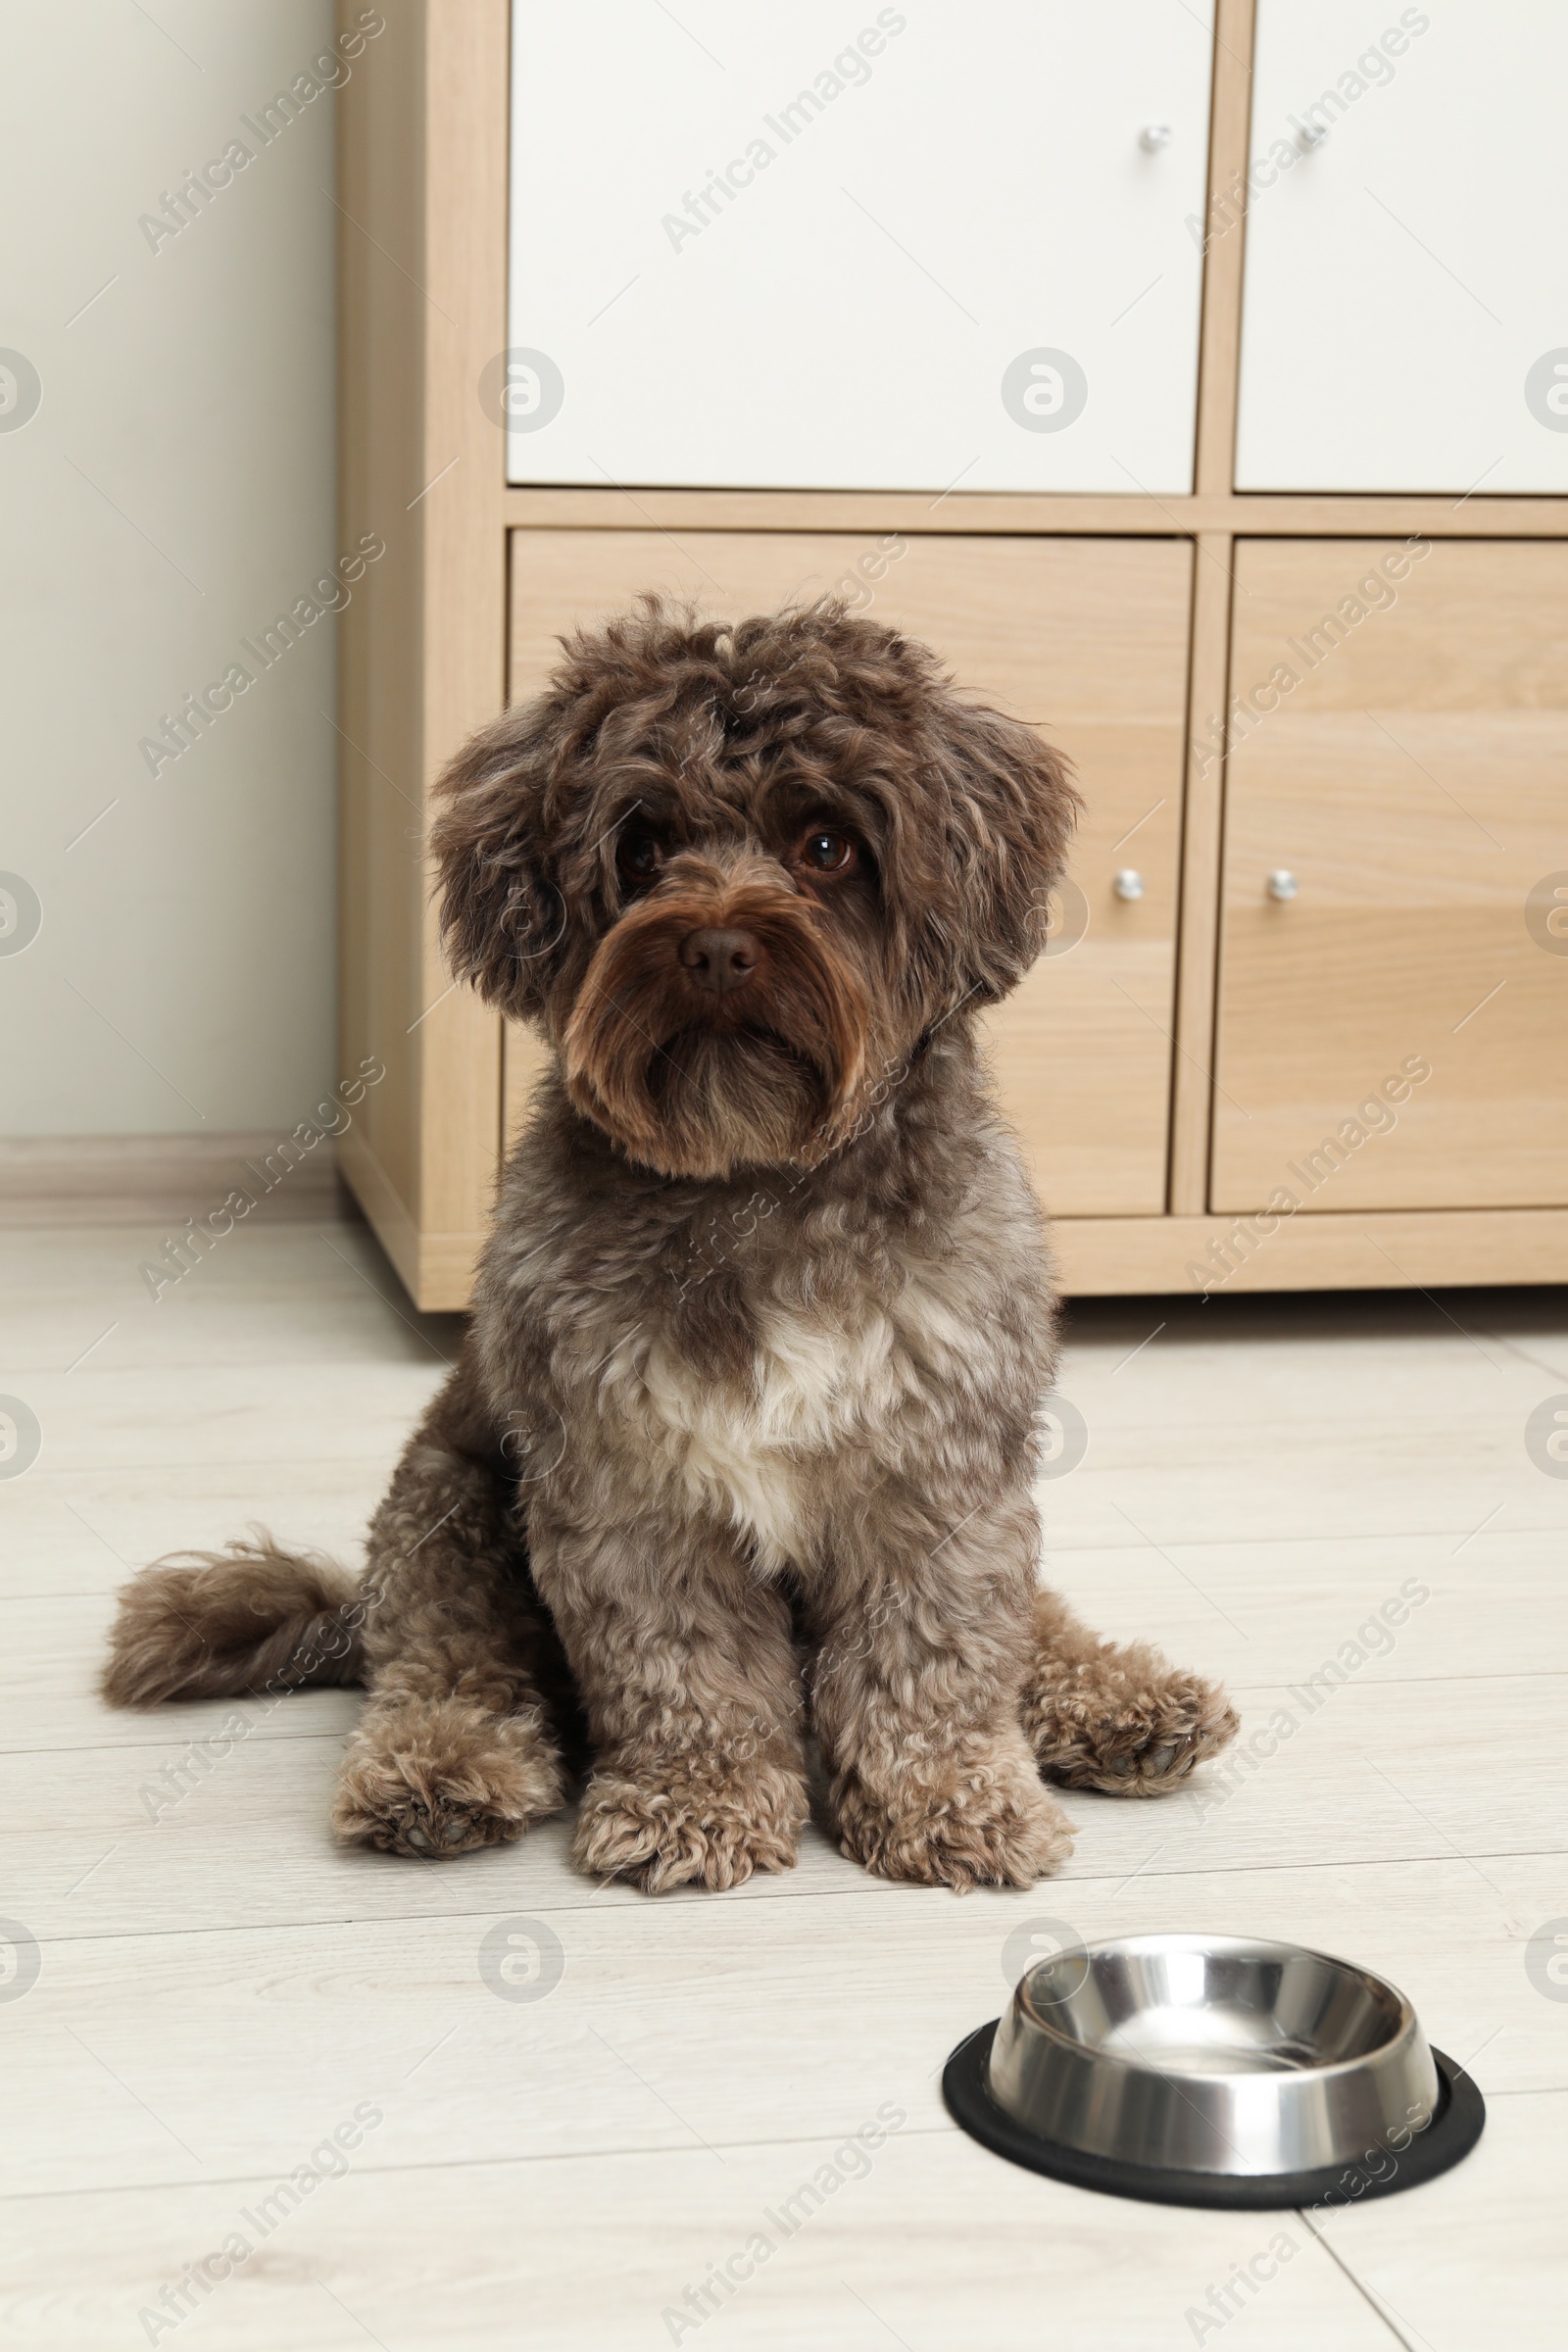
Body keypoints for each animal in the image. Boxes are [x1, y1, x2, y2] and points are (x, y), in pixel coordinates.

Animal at [107, 602, 1241, 1890]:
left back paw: (1123, 1703)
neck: (755, 1179)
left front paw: (947, 1800)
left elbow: (935, 1656)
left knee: (1029, 1617)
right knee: (446, 1662)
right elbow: (683, 1668)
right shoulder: (628, 1487)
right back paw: (441, 1773)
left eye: (826, 844)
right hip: (447, 1509)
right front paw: (693, 1803)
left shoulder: (937, 1467)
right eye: (641, 848)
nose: (714, 947)